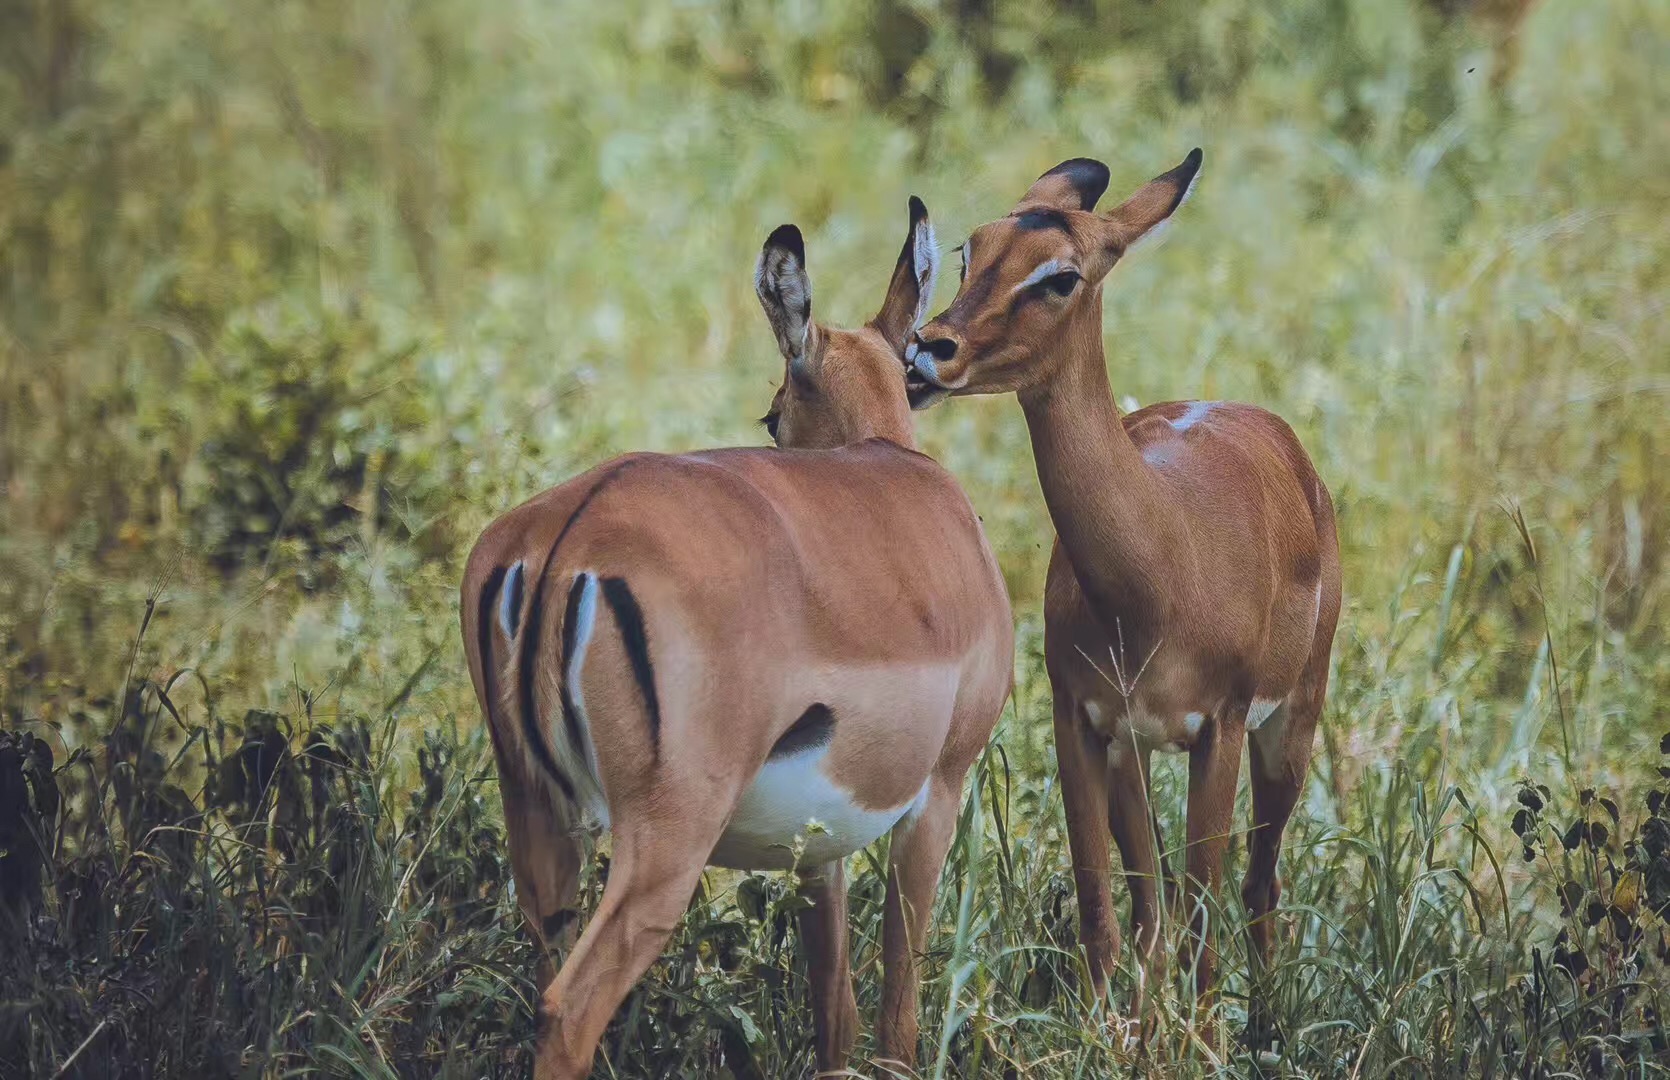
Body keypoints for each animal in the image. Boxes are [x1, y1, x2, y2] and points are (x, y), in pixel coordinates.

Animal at [457, 198, 1008, 1074]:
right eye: (771, 416)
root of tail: (566, 538)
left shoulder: (820, 843)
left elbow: (834, 1010)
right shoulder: (939, 793)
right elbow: (897, 1008)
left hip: (536, 810)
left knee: (543, 970)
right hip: (667, 836)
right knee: (568, 1004)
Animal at [901, 150, 1342, 1008]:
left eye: (1061, 277)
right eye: (973, 248)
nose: (928, 350)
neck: (1160, 569)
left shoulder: (1219, 729)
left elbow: (1203, 926)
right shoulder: (1084, 722)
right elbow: (1106, 920)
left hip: (1291, 724)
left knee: (1256, 889)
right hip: (1134, 754)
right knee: (1152, 914)